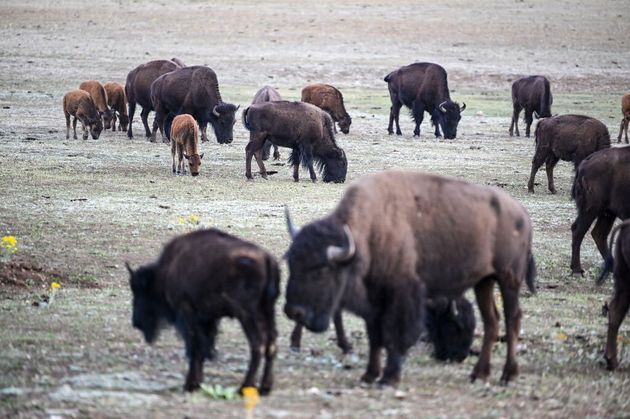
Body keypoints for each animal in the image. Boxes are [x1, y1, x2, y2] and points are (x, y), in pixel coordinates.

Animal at [127, 228, 280, 396]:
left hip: (247, 316)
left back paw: (244, 387)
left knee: (257, 345)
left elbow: (195, 348)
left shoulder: (187, 313)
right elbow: (203, 348)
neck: (168, 270)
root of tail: (267, 258)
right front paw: (197, 382)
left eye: (140, 291)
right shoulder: (208, 319)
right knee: (271, 345)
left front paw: (190, 385)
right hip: (267, 313)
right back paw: (264, 387)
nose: (136, 322)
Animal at [286, 171, 540, 388]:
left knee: (512, 319)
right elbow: (375, 336)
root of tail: (522, 214)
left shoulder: (401, 294)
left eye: (321, 270)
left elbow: (395, 334)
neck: (370, 231)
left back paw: (508, 375)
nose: (294, 312)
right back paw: (479, 374)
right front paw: (369, 375)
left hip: (509, 279)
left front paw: (388, 378)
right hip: (484, 281)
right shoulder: (374, 300)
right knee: (492, 321)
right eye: (290, 263)